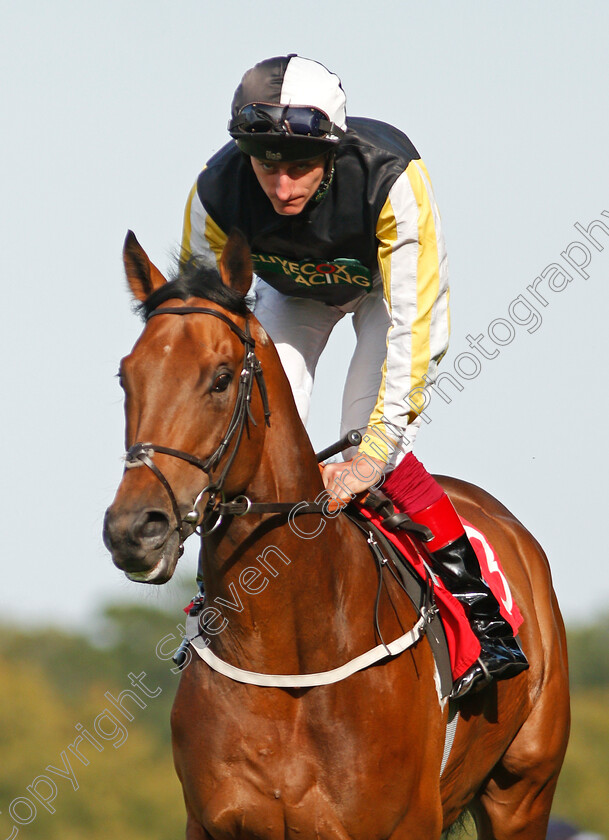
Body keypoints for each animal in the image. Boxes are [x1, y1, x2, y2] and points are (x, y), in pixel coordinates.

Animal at [103, 230, 568, 840]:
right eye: (125, 376)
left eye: (222, 378)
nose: (134, 529)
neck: (289, 655)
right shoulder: (211, 823)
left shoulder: (407, 824)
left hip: (523, 792)